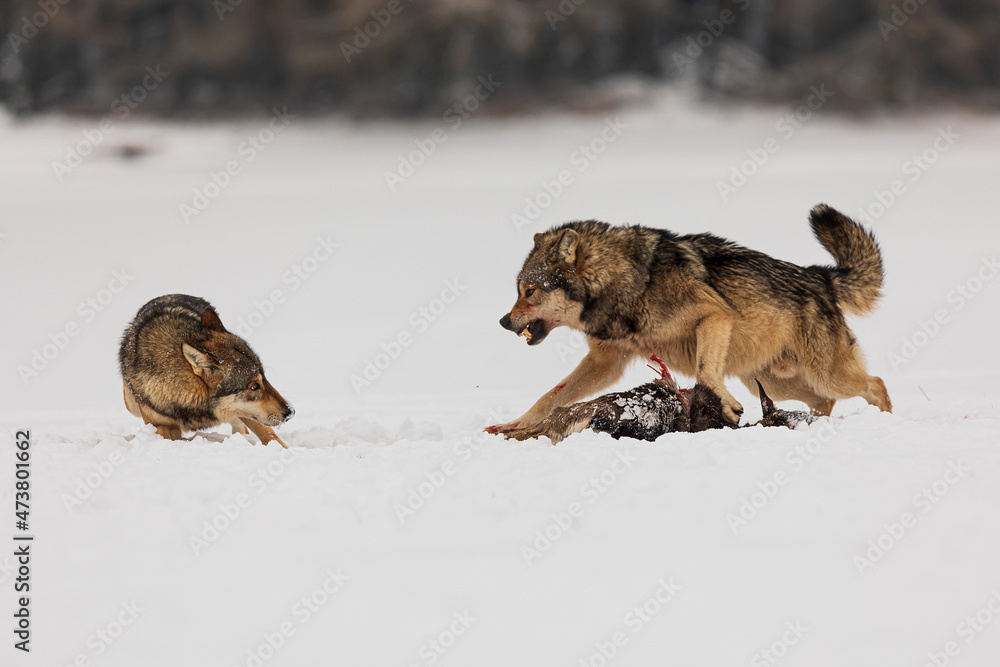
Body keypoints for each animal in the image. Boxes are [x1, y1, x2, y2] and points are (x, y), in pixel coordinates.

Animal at [119, 294, 294, 447]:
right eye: (254, 386)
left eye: (264, 378)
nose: (290, 412)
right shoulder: (162, 427)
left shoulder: (248, 414)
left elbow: (270, 436)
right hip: (131, 405)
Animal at [495, 204, 891, 432]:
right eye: (519, 289)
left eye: (530, 291)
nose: (503, 321)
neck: (625, 283)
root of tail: (820, 275)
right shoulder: (606, 362)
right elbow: (549, 398)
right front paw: (512, 425)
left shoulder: (713, 316)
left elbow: (704, 370)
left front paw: (725, 406)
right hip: (771, 381)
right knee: (824, 402)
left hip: (825, 375)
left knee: (876, 384)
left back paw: (888, 421)